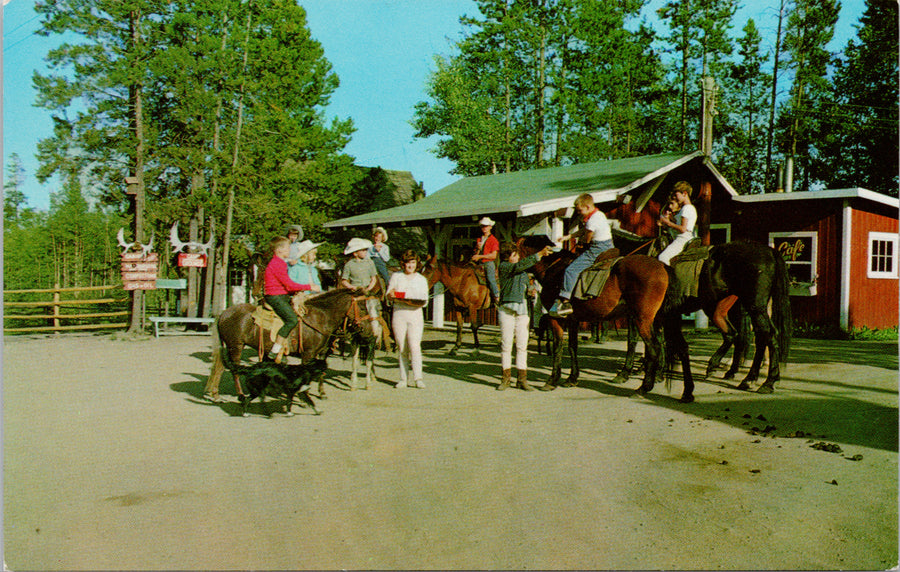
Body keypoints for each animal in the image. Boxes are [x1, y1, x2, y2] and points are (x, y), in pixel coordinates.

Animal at [202, 288, 374, 404]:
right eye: (362, 307)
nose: (369, 331)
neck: (320, 318)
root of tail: (224, 313)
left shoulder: (320, 353)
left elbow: (321, 374)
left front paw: (321, 393)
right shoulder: (308, 354)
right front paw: (303, 397)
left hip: (230, 346)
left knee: (220, 367)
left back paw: (215, 394)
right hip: (236, 346)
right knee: (234, 370)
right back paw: (240, 395)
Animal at [516, 236, 692, 402]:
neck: (553, 269)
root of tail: (662, 266)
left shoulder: (557, 320)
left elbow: (558, 346)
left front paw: (552, 380)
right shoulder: (573, 320)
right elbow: (572, 347)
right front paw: (572, 378)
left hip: (643, 320)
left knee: (654, 348)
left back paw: (643, 388)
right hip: (663, 319)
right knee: (680, 347)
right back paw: (687, 392)